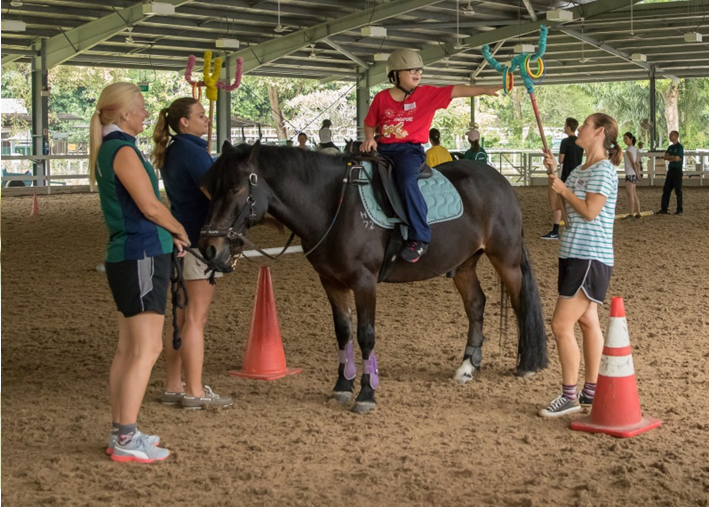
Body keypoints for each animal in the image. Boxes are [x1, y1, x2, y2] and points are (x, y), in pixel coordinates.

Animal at [199, 141, 548, 414]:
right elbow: (343, 333)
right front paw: (342, 386)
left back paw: (526, 365)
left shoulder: (363, 281)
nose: (209, 248)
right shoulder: (331, 281)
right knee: (476, 304)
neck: (334, 205)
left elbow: (366, 335)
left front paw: (366, 394)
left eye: (235, 188)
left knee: (519, 303)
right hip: (464, 264)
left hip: (506, 259)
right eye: (209, 188)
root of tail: (499, 181)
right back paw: (467, 366)